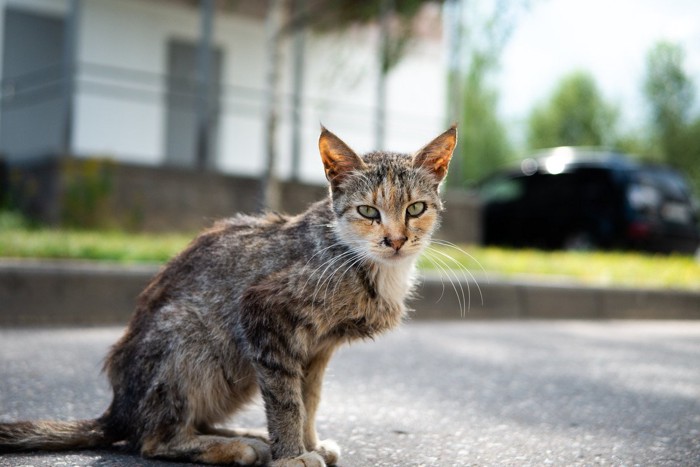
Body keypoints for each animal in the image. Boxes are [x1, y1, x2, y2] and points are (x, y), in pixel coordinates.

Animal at [0, 126, 456, 466]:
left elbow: (308, 397)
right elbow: (287, 400)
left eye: (415, 209)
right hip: (190, 334)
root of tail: (118, 409)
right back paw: (235, 447)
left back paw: (246, 434)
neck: (360, 260)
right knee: (152, 439)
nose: (396, 240)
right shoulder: (263, 315)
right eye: (367, 212)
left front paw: (306, 442)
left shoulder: (317, 349)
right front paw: (292, 454)